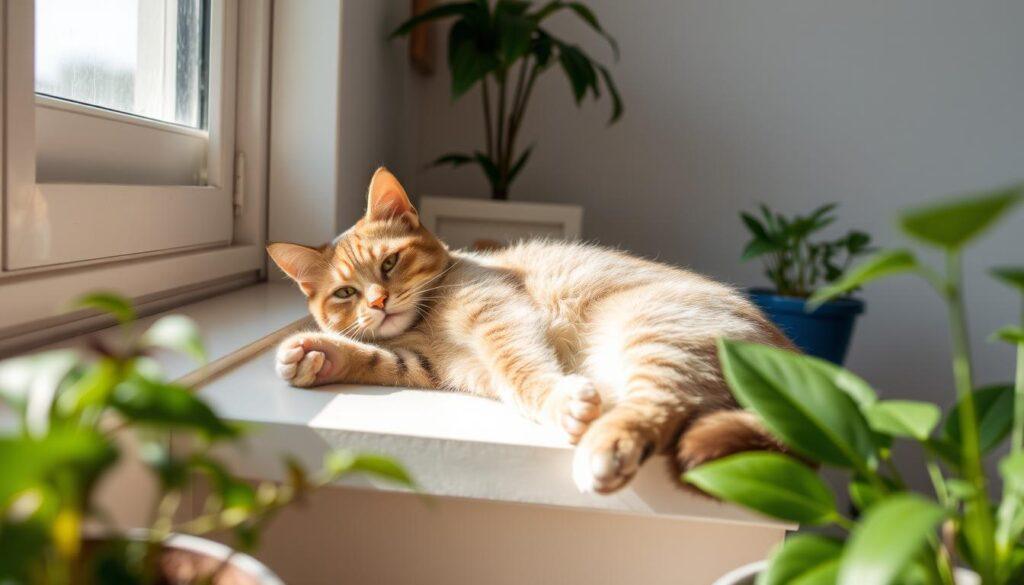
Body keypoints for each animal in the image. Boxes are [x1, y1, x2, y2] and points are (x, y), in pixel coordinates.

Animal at [266, 169, 790, 493]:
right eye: (345, 293)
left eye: (390, 263)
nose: (378, 301)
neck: (425, 324)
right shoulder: (431, 364)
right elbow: (377, 358)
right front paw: (315, 355)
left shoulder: (498, 315)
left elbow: (521, 372)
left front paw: (560, 403)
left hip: (653, 331)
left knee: (660, 408)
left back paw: (604, 449)